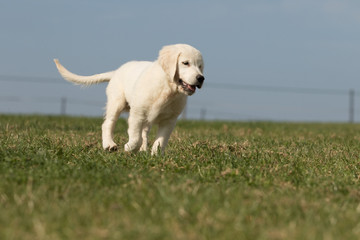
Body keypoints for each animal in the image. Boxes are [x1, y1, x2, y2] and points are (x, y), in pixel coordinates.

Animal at [54, 43, 205, 155]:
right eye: (185, 63)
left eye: (200, 66)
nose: (201, 78)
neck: (168, 89)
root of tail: (116, 71)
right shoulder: (137, 114)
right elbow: (135, 136)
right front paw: (130, 147)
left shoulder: (169, 120)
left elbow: (160, 141)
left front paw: (156, 156)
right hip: (117, 102)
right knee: (108, 124)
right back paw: (109, 144)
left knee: (144, 132)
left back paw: (142, 149)